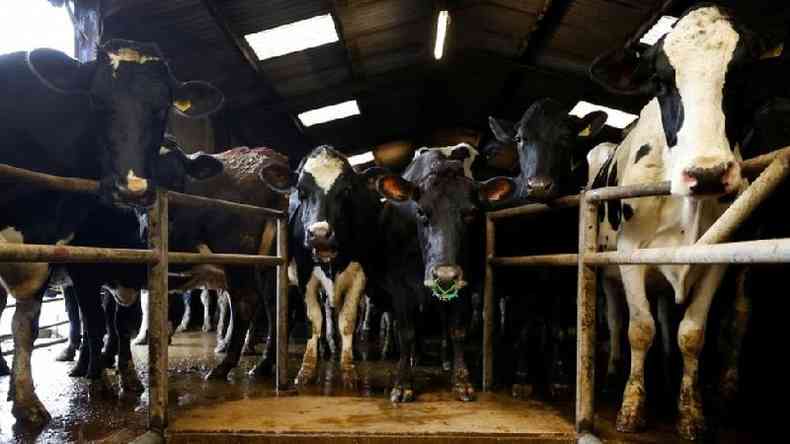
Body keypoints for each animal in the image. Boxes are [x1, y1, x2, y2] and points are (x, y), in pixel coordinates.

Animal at [0, 40, 223, 424]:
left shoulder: (53, 250)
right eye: (96, 100)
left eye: (162, 107)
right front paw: (98, 380)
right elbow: (93, 323)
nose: (133, 189)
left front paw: (128, 376)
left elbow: (37, 324)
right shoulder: (83, 271)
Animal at [588, 4, 768, 440]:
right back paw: (613, 375)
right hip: (607, 272)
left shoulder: (716, 259)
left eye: (742, 73)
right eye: (659, 80)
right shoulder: (629, 254)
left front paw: (690, 412)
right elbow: (639, 329)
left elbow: (691, 334)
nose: (707, 173)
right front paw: (631, 408)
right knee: (616, 321)